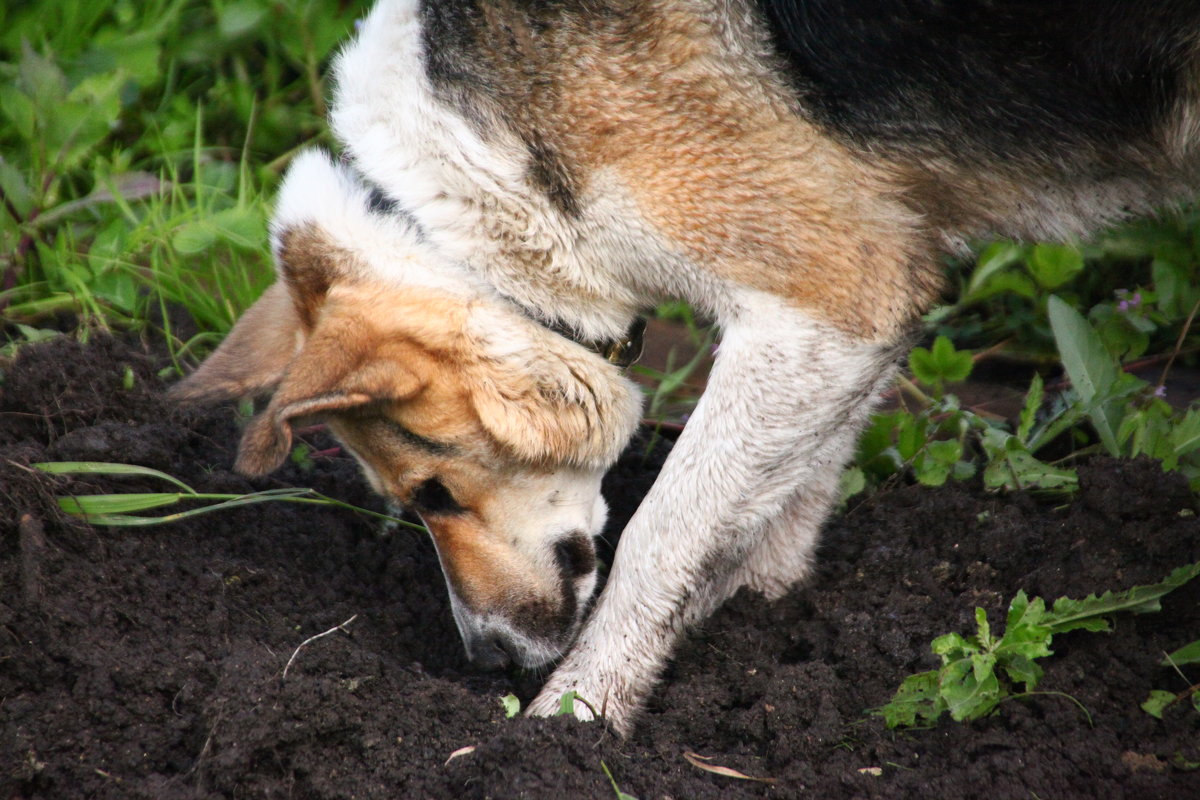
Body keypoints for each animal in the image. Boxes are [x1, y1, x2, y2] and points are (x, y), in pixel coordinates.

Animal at [175, 0, 1200, 734]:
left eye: (432, 494)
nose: (489, 664)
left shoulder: (829, 296)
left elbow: (662, 533)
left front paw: (575, 719)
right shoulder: (875, 288)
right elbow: (784, 492)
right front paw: (758, 606)